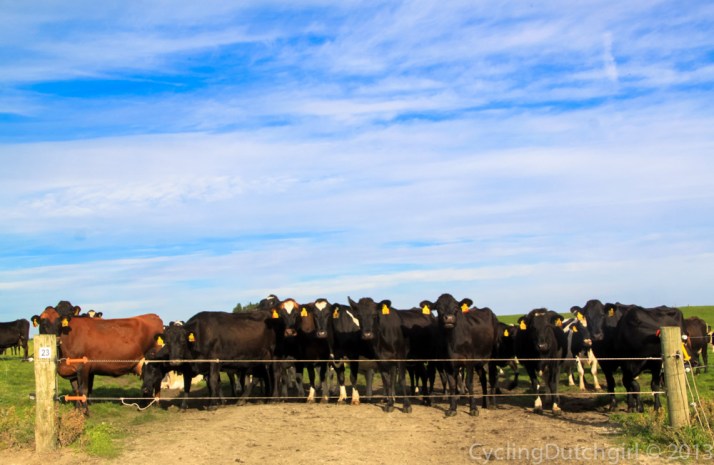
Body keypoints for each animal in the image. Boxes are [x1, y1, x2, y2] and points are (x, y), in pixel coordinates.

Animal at [31, 305, 163, 414]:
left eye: (59, 323)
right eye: (43, 324)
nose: (57, 340)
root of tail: (153, 316)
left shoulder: (83, 367)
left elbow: (83, 390)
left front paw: (85, 412)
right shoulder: (71, 370)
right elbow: (75, 391)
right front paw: (77, 410)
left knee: (156, 382)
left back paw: (155, 404)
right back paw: (145, 403)